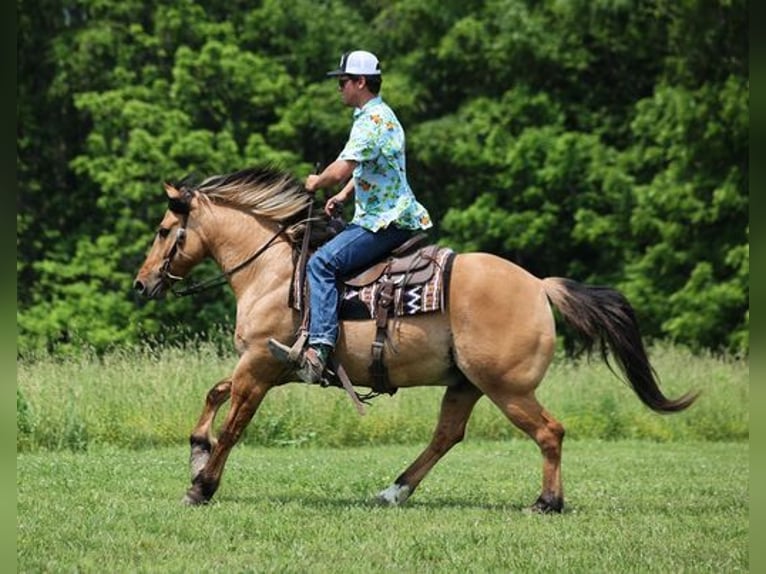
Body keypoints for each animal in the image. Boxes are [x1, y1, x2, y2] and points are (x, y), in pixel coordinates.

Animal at [135, 166, 700, 512]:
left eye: (163, 230)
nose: (141, 284)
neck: (273, 271)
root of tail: (539, 285)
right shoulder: (266, 366)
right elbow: (215, 394)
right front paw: (197, 451)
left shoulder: (259, 365)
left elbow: (235, 425)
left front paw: (202, 485)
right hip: (466, 383)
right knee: (447, 435)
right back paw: (394, 491)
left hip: (507, 387)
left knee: (549, 432)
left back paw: (546, 502)